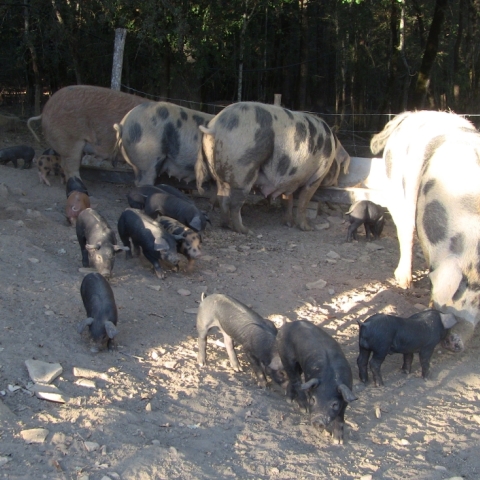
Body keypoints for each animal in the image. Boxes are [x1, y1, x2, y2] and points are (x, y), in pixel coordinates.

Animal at [195, 102, 348, 233]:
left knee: (223, 198)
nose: (337, 182)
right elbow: (303, 201)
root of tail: (216, 126)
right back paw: (246, 230)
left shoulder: (289, 177)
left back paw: (227, 225)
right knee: (235, 204)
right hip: (244, 170)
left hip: (219, 172)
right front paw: (308, 228)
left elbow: (287, 200)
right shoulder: (317, 175)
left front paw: (289, 224)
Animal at [372, 111, 480, 352]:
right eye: (457, 297)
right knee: (404, 232)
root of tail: (409, 115)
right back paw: (404, 281)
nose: (455, 344)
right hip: (395, 189)